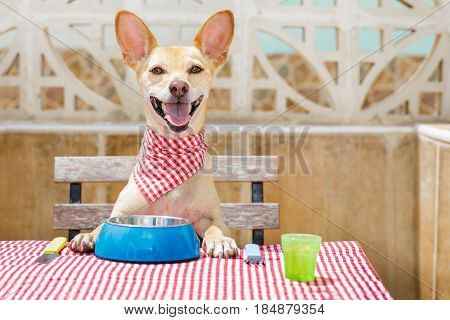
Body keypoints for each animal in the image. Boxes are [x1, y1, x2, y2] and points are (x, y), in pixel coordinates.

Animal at [67, 10, 239, 258]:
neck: (172, 151)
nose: (179, 87)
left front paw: (220, 240)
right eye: (157, 70)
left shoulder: (212, 217)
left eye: (195, 69)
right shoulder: (120, 213)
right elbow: (102, 224)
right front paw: (87, 235)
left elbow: (215, 226)